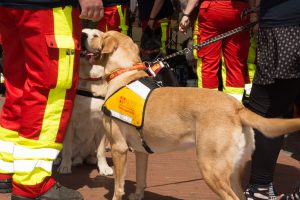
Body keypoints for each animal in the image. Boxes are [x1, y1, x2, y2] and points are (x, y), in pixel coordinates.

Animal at [88, 30, 300, 200]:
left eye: (97, 35)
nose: (83, 37)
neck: (124, 73)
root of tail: (236, 107)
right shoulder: (140, 152)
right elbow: (141, 180)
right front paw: (138, 195)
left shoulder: (119, 148)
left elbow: (118, 187)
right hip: (232, 172)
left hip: (211, 168)